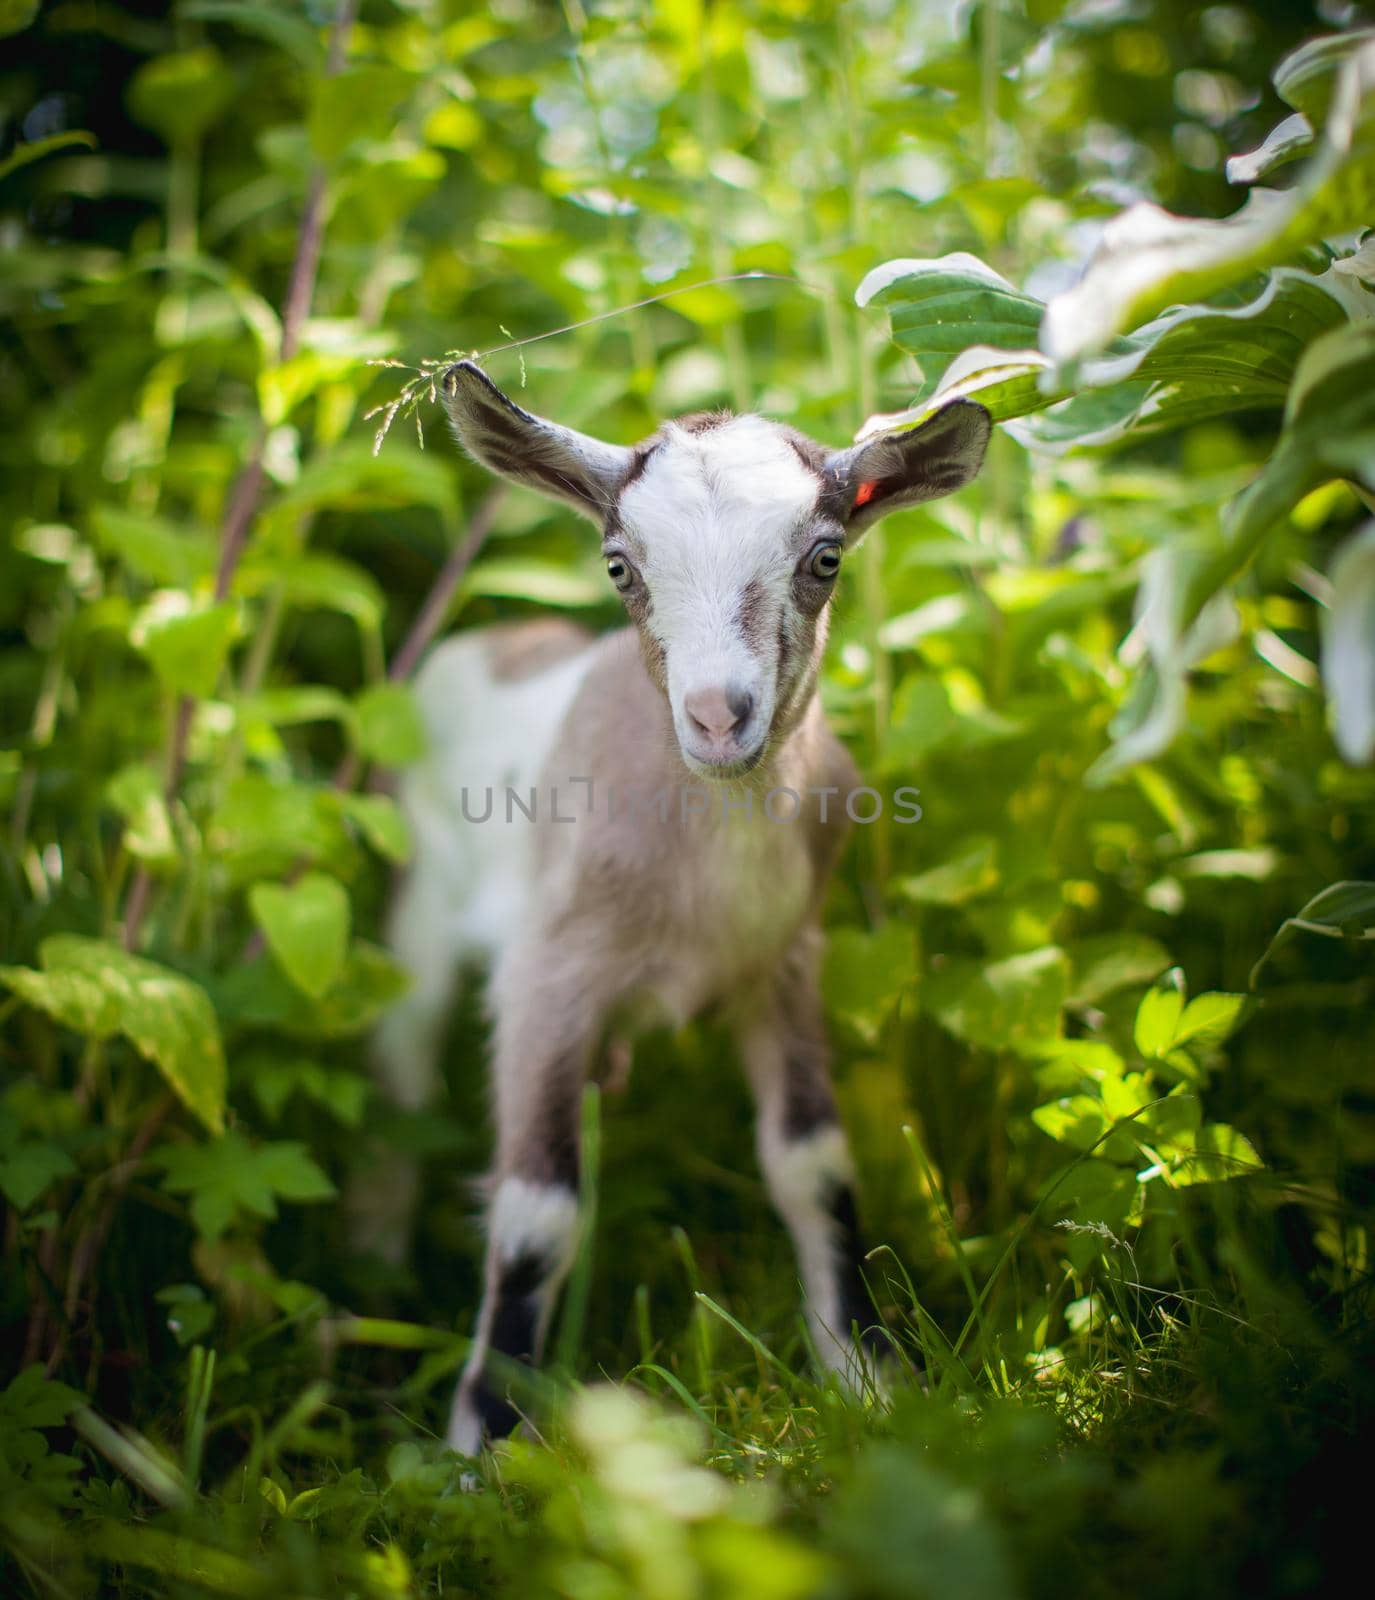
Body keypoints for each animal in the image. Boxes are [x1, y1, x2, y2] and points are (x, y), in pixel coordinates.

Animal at [364, 366, 992, 1452]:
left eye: (825, 557)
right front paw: (485, 1440)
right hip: (417, 916)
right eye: (619, 566)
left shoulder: (783, 963)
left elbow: (812, 1163)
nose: (715, 716)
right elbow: (536, 1210)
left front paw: (867, 1373)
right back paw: (380, 1276)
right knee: (399, 1085)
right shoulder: (546, 978)